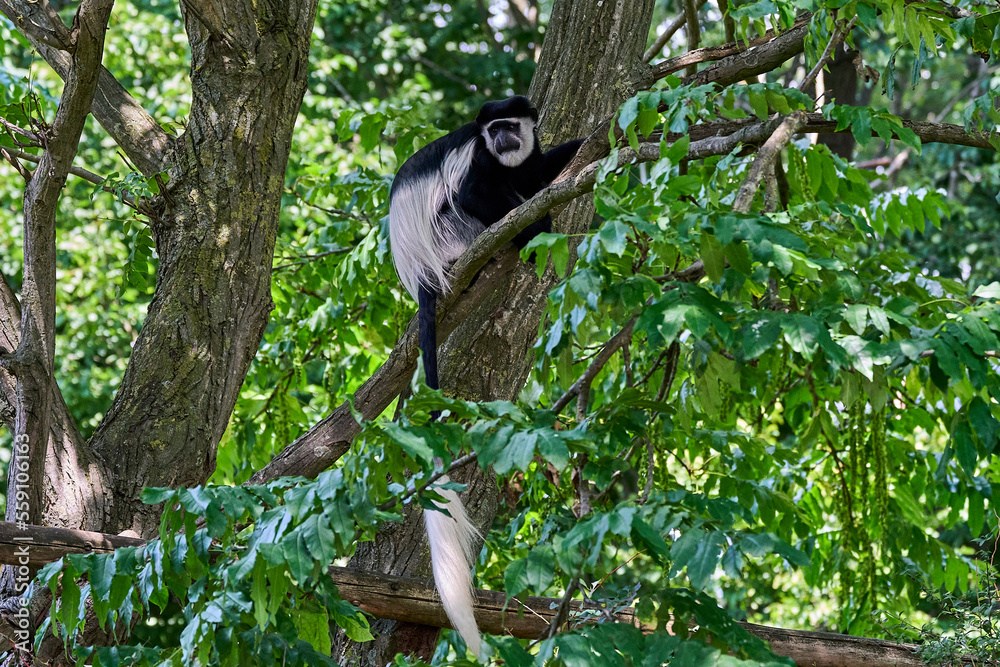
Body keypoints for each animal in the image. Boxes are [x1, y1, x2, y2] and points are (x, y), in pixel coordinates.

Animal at [387, 96, 582, 655]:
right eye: (492, 130)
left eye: (510, 126)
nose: (501, 139)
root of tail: (419, 271)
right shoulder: (476, 161)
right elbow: (476, 191)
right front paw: (537, 221)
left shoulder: (525, 157)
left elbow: (539, 168)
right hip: (450, 234)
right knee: (468, 206)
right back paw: (521, 237)